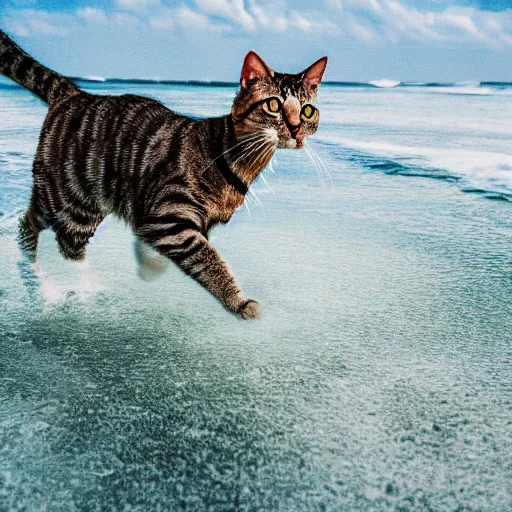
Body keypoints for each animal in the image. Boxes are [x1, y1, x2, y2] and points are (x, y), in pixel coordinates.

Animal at [0, 30, 326, 318]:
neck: (238, 160)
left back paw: (82, 281)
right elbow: (209, 261)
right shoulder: (171, 219)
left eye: (308, 111)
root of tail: (74, 94)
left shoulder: (173, 222)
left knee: (68, 244)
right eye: (274, 105)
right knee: (27, 224)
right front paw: (238, 301)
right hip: (59, 193)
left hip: (85, 210)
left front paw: (148, 264)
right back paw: (33, 275)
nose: (296, 129)